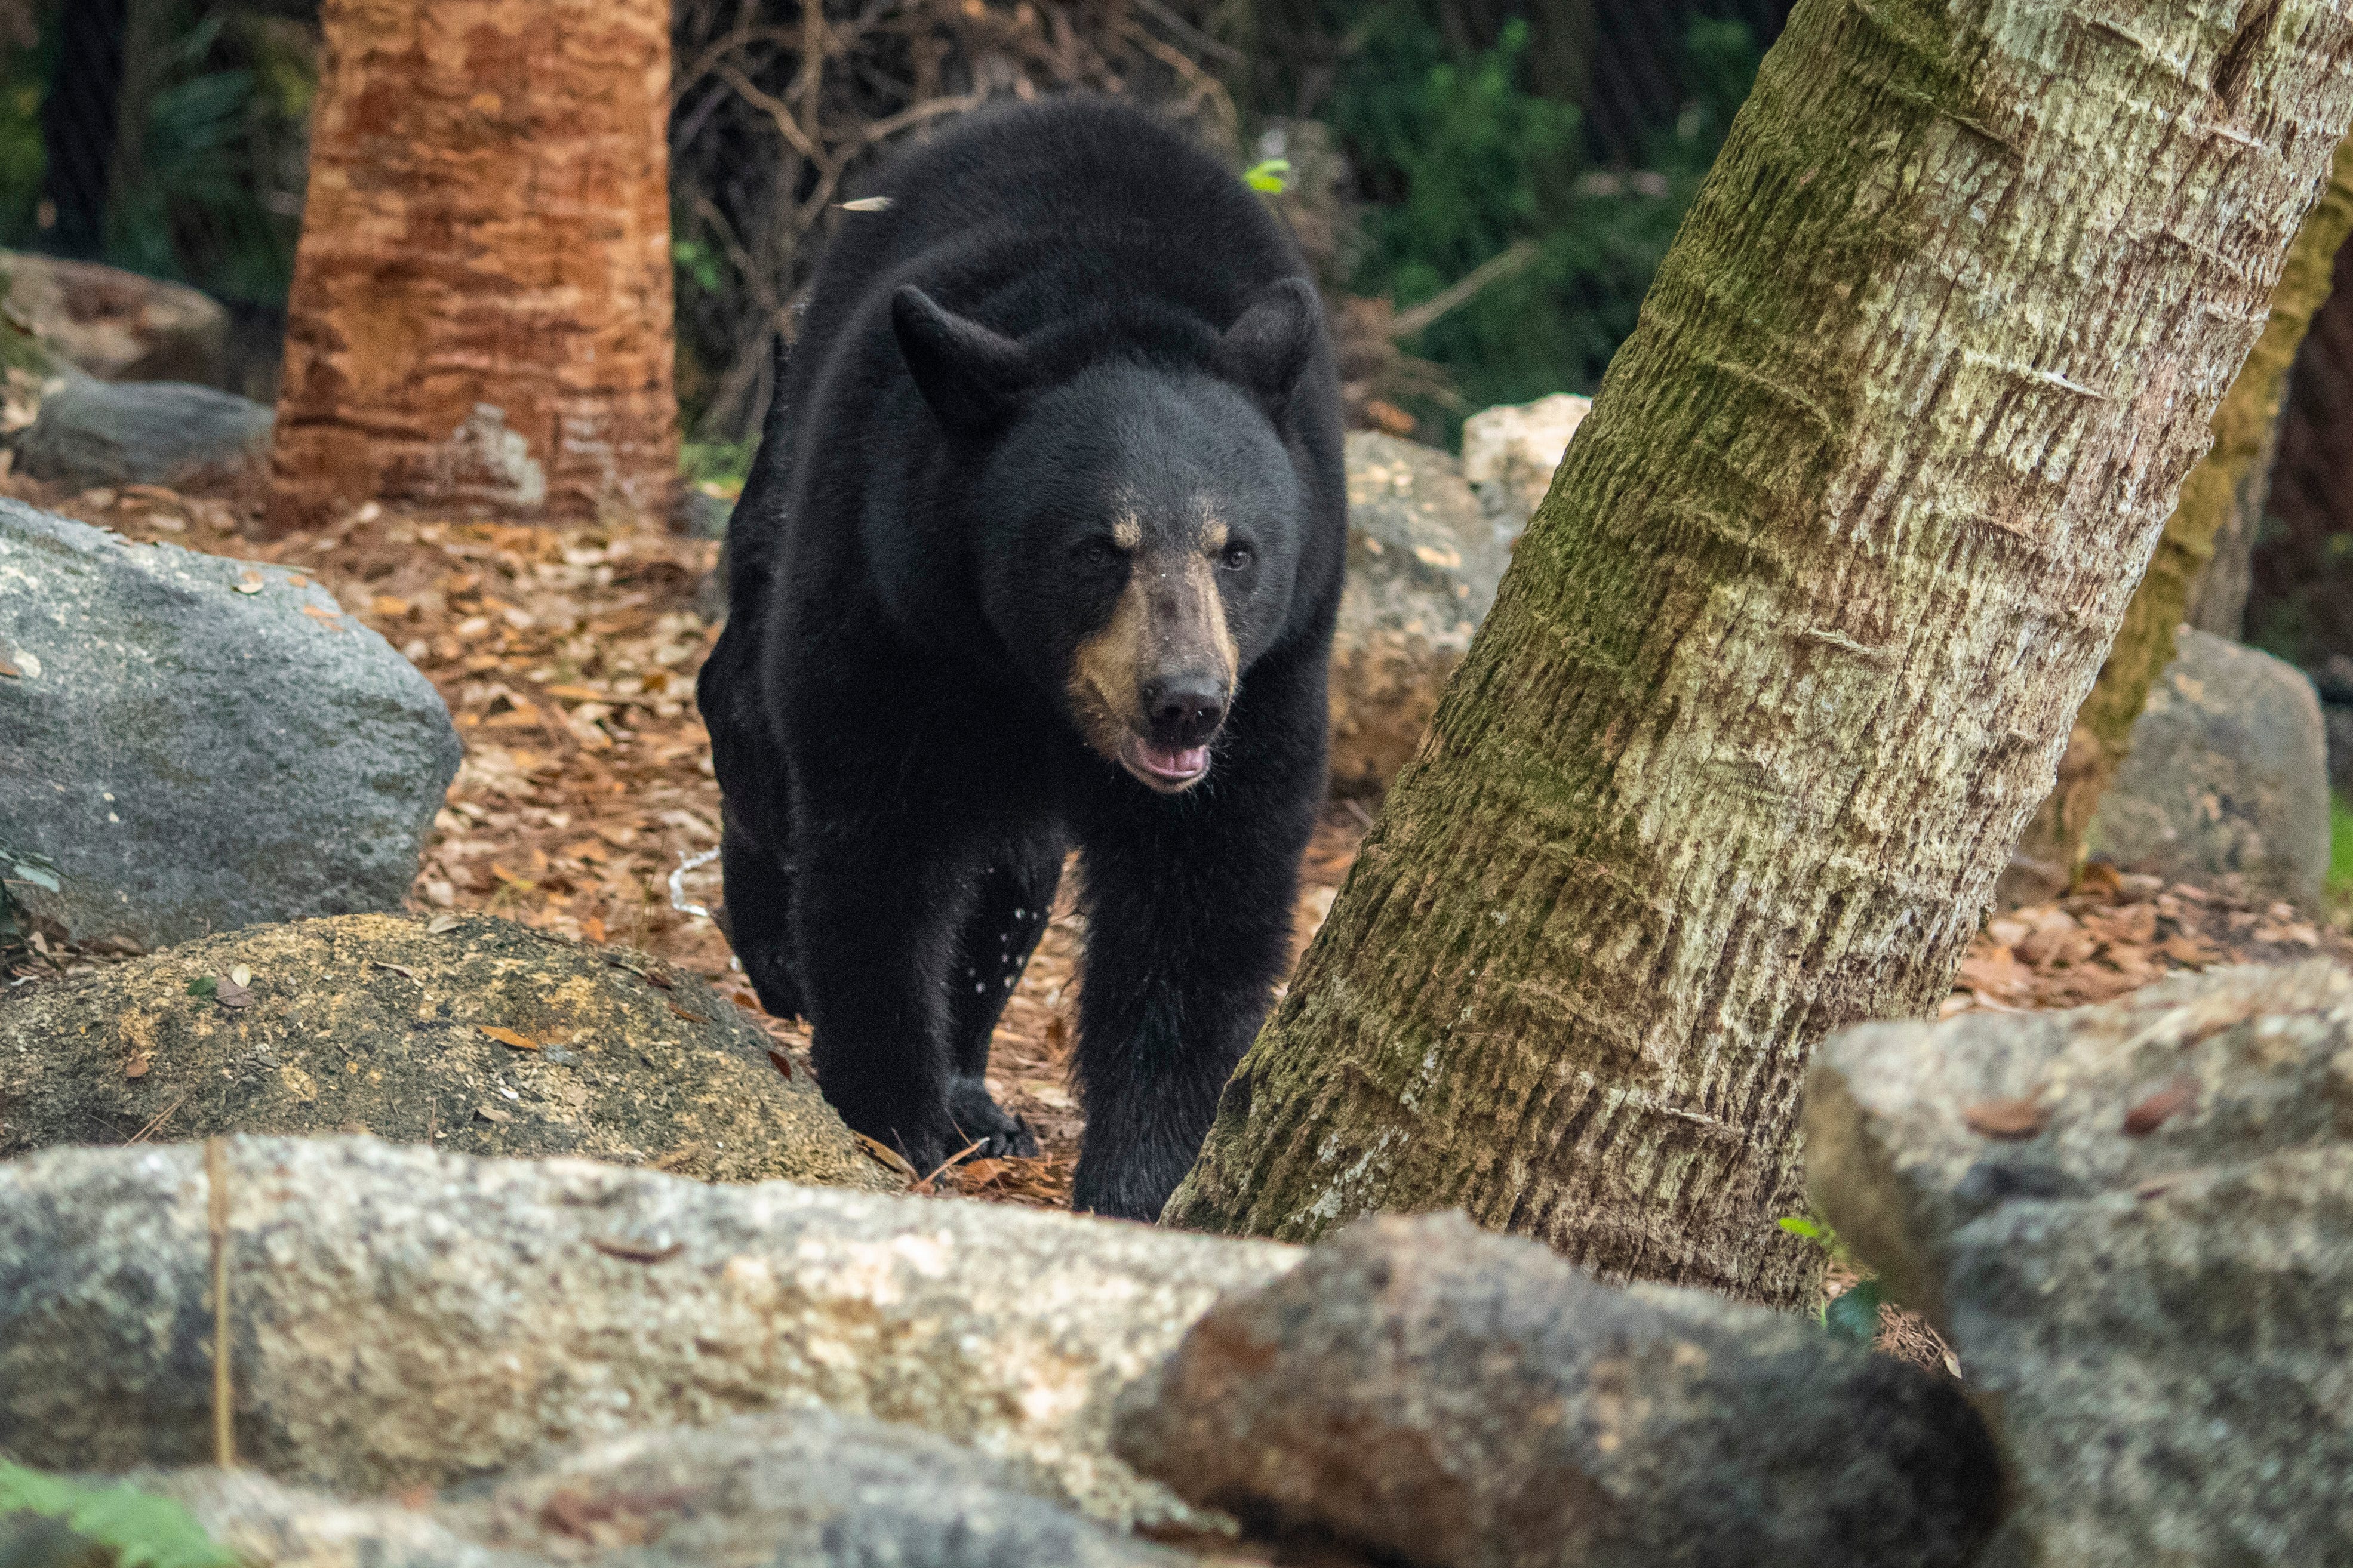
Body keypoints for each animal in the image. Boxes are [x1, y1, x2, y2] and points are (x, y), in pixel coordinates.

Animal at [701, 95, 1346, 1222]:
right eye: (1097, 548)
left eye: (1238, 551)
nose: (1184, 702)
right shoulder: (891, 590)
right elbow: (880, 842)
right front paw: (888, 1110)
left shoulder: (1279, 671)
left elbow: (1204, 894)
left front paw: (1141, 1175)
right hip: (790, 474)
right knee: (751, 718)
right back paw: (779, 952)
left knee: (1012, 877)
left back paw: (979, 1098)